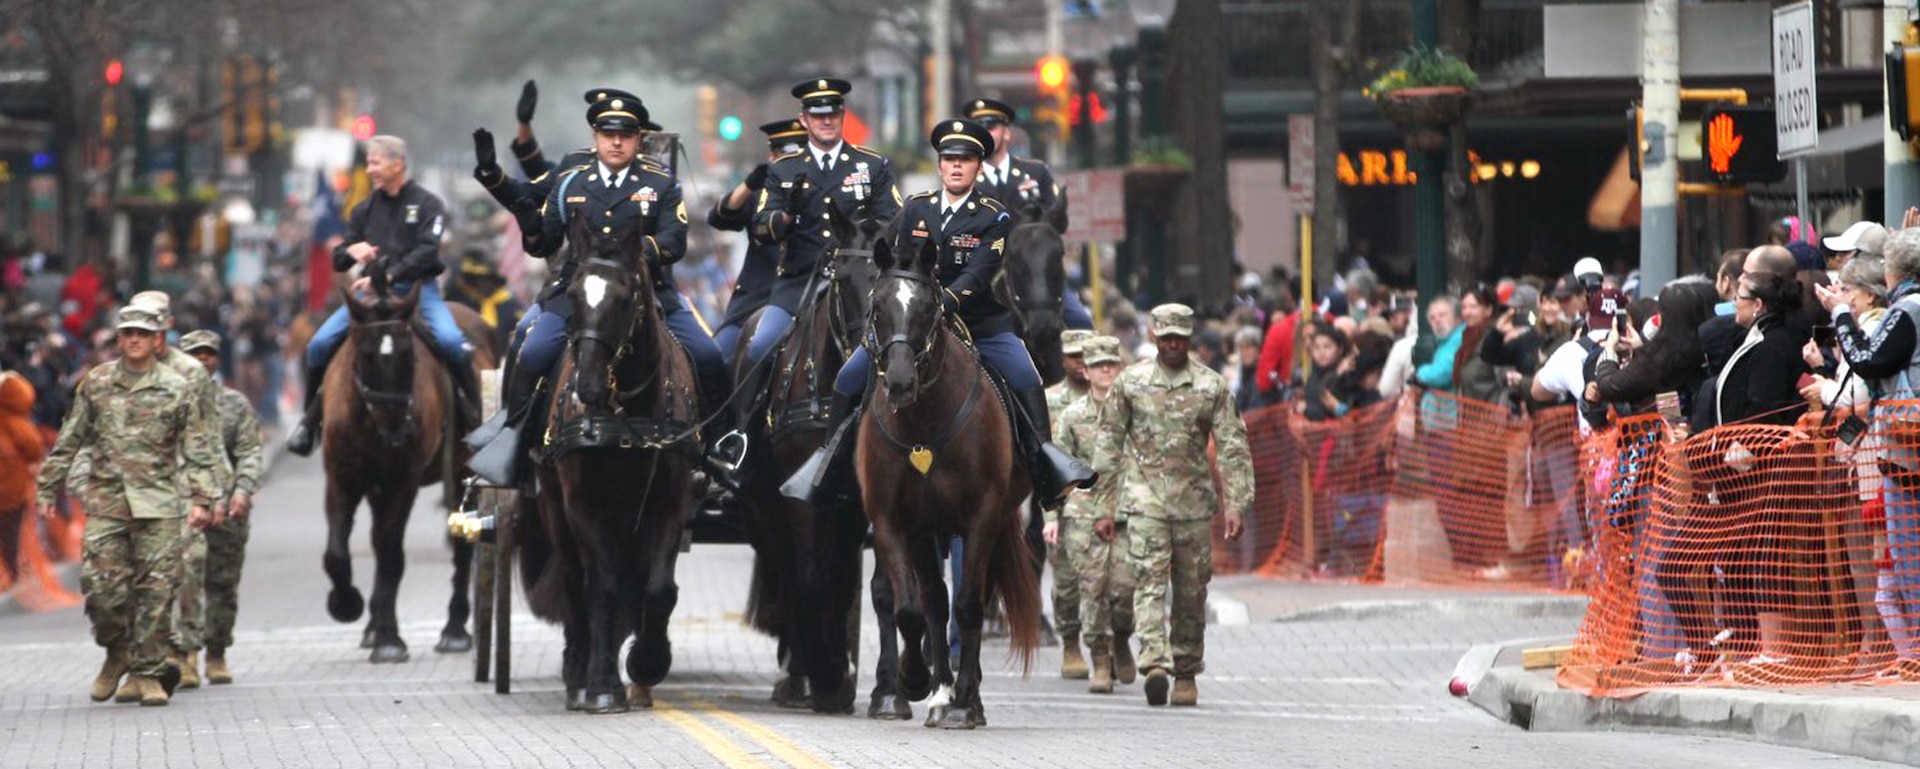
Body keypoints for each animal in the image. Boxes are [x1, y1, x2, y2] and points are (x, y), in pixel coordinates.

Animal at [318, 278, 495, 663]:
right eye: (366, 355)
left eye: (409, 356)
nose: (400, 432)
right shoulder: (341, 478)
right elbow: (337, 554)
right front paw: (348, 605)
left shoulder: (403, 482)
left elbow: (390, 554)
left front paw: (389, 640)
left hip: (459, 474)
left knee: (460, 546)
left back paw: (454, 631)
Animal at [526, 212, 698, 709]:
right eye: (573, 294)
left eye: (624, 300)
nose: (587, 387)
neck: (629, 412)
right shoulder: (584, 505)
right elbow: (599, 587)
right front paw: (602, 685)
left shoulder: (669, 503)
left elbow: (658, 589)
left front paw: (647, 662)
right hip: (553, 507)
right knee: (573, 581)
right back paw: (577, 671)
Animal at [856, 236, 1036, 728]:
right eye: (876, 307)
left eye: (927, 309)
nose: (899, 383)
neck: (923, 424)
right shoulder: (893, 522)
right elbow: (910, 610)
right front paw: (914, 681)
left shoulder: (981, 518)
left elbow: (970, 605)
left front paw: (965, 700)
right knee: (934, 601)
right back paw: (937, 691)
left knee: (970, 599)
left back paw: (963, 698)